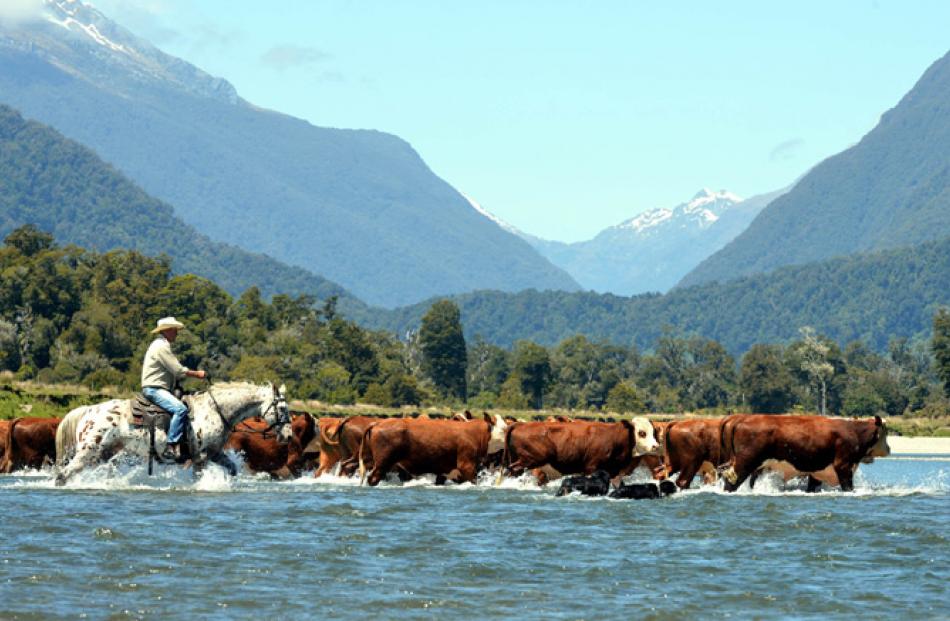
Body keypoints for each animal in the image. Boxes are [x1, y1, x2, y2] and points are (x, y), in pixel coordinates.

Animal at [54, 378, 292, 484]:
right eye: (282, 408)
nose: (289, 436)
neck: (215, 409)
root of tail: (89, 410)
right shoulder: (201, 457)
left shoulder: (215, 453)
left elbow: (232, 468)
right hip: (88, 451)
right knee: (63, 474)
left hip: (103, 454)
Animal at [358, 414, 510, 486]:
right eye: (504, 429)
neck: (475, 433)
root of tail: (379, 422)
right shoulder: (467, 466)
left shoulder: (445, 472)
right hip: (382, 463)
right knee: (373, 478)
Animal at [498, 416, 660, 484]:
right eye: (642, 433)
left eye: (653, 432)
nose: (655, 446)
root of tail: (520, 424)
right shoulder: (591, 467)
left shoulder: (613, 471)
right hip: (528, 460)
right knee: (511, 470)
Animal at [720, 414, 892, 492]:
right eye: (885, 431)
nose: (889, 449)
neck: (853, 432)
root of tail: (742, 418)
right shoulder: (843, 466)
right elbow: (848, 486)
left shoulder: (817, 472)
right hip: (744, 462)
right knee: (732, 480)